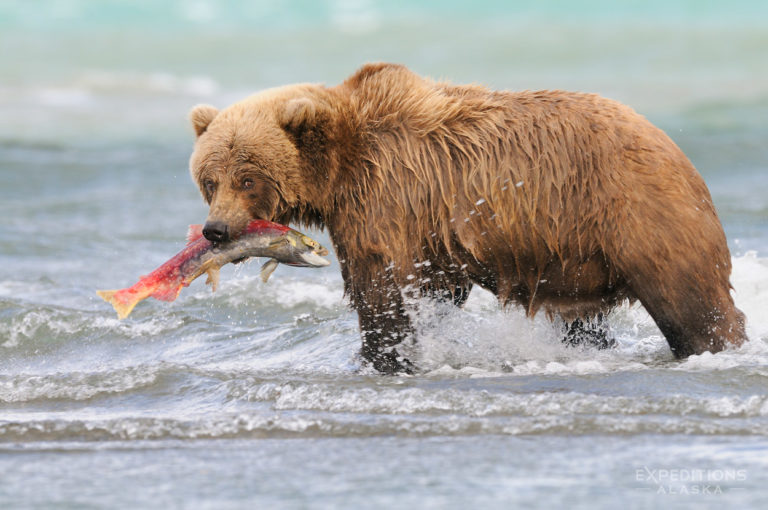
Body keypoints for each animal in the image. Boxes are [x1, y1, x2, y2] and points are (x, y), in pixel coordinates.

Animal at [188, 62, 747, 373]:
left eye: (247, 178)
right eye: (210, 179)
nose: (216, 229)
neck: (341, 168)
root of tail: (672, 147)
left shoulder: (389, 196)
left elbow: (381, 288)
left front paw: (380, 356)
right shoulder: (428, 229)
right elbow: (432, 289)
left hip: (638, 214)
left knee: (692, 303)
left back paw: (720, 344)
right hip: (577, 253)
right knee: (582, 321)